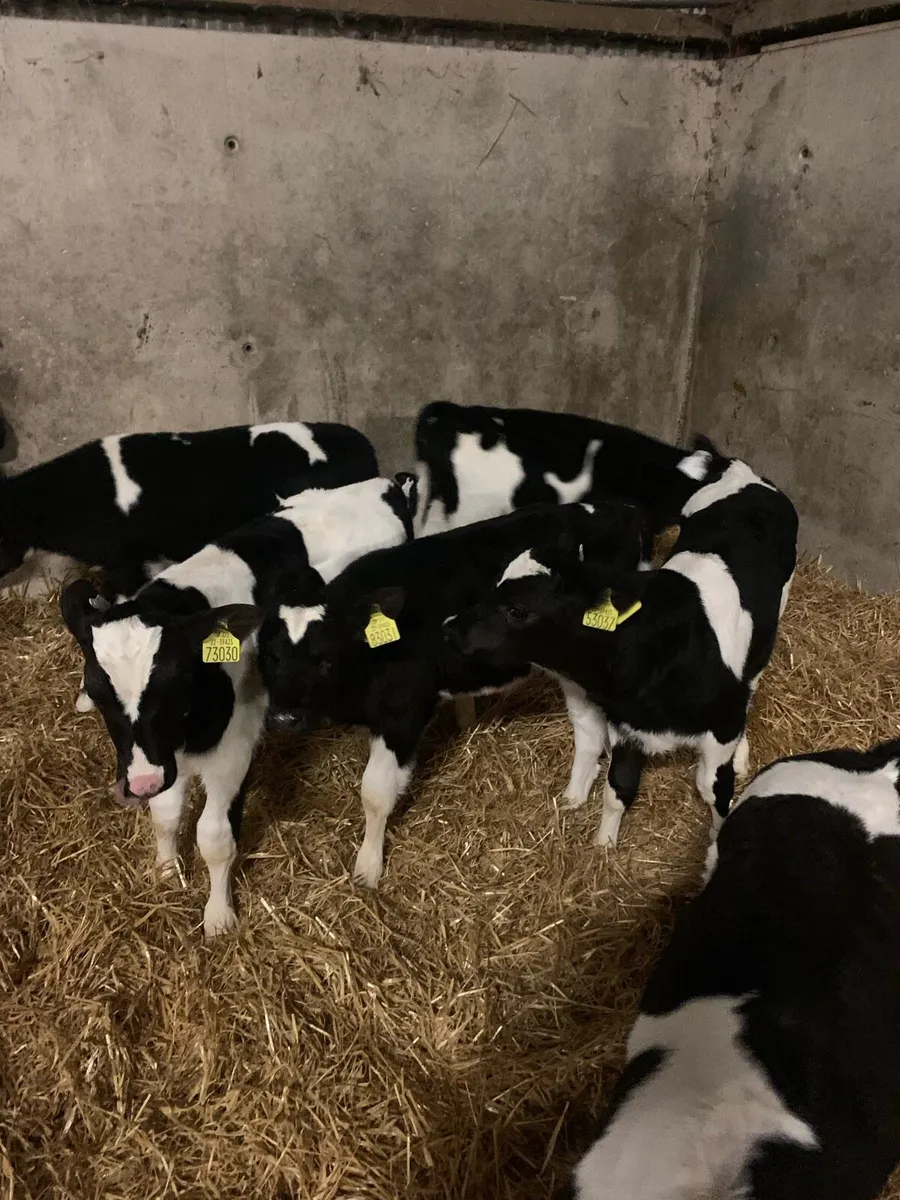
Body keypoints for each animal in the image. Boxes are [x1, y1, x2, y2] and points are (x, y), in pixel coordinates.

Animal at [60, 476, 412, 937]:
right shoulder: (161, 757)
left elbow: (213, 836)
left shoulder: (231, 752)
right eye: (98, 692)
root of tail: (385, 484)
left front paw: (218, 915)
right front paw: (167, 870)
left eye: (175, 681)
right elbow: (165, 814)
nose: (141, 783)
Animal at [258, 499, 649, 888]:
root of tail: (618, 508)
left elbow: (375, 793)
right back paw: (573, 797)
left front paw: (368, 868)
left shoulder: (402, 712)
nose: (284, 718)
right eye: (271, 656)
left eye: (325, 659)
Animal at [446, 446, 798, 843]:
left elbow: (714, 790)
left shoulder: (722, 724)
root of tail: (746, 475)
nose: (452, 628)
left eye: (517, 610)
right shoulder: (626, 727)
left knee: (752, 682)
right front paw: (603, 845)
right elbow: (617, 789)